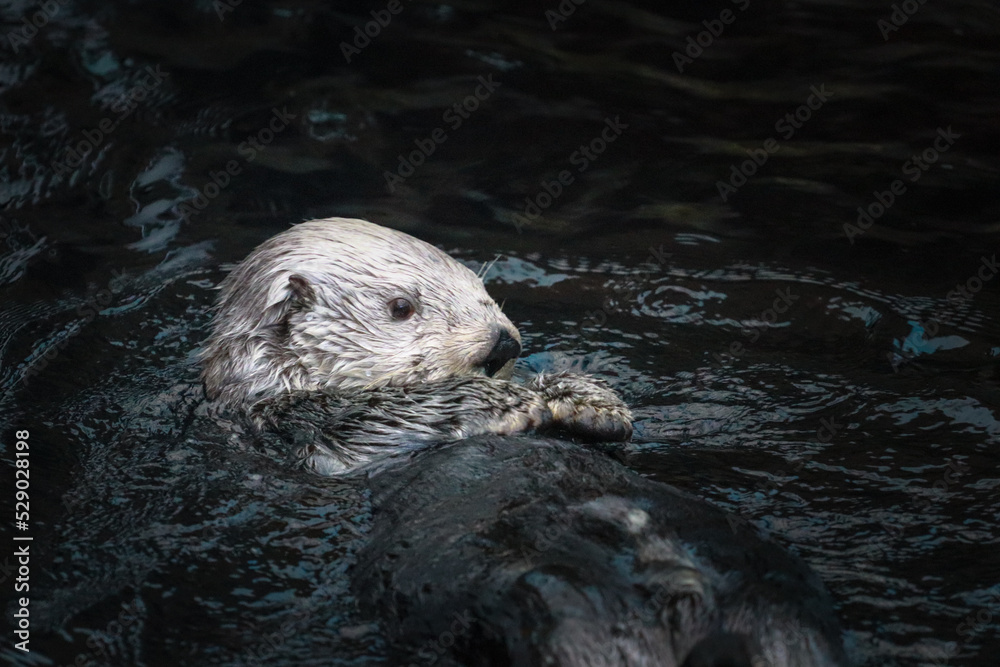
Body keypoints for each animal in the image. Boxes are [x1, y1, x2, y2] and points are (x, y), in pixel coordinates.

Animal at [200, 217, 847, 666]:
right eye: (401, 307)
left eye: (482, 290)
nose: (502, 344)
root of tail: (680, 593)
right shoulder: (302, 433)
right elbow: (395, 415)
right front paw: (508, 403)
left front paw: (589, 399)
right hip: (575, 628)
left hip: (778, 616)